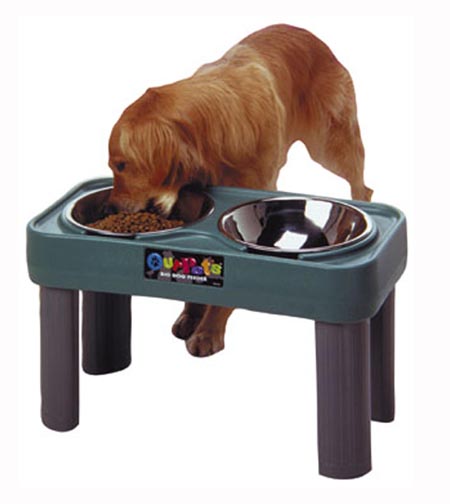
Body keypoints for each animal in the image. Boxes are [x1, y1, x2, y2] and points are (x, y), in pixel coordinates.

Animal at [107, 24, 372, 357]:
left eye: (121, 165)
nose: (112, 207)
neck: (213, 132)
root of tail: (310, 35)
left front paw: (208, 332)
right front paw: (190, 315)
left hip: (330, 143)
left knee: (362, 184)